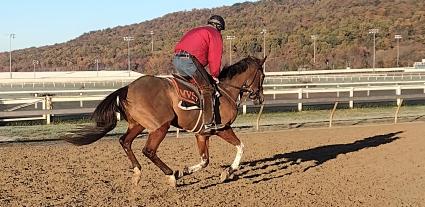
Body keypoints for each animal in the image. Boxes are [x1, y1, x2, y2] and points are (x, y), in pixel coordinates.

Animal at [63, 55, 264, 187]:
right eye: (262, 76)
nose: (259, 98)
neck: (226, 91)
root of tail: (127, 87)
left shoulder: (202, 134)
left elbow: (205, 160)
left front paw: (184, 171)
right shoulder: (222, 128)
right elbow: (241, 146)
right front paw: (228, 171)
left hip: (138, 124)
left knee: (125, 141)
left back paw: (138, 172)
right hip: (160, 126)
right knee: (148, 150)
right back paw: (170, 175)